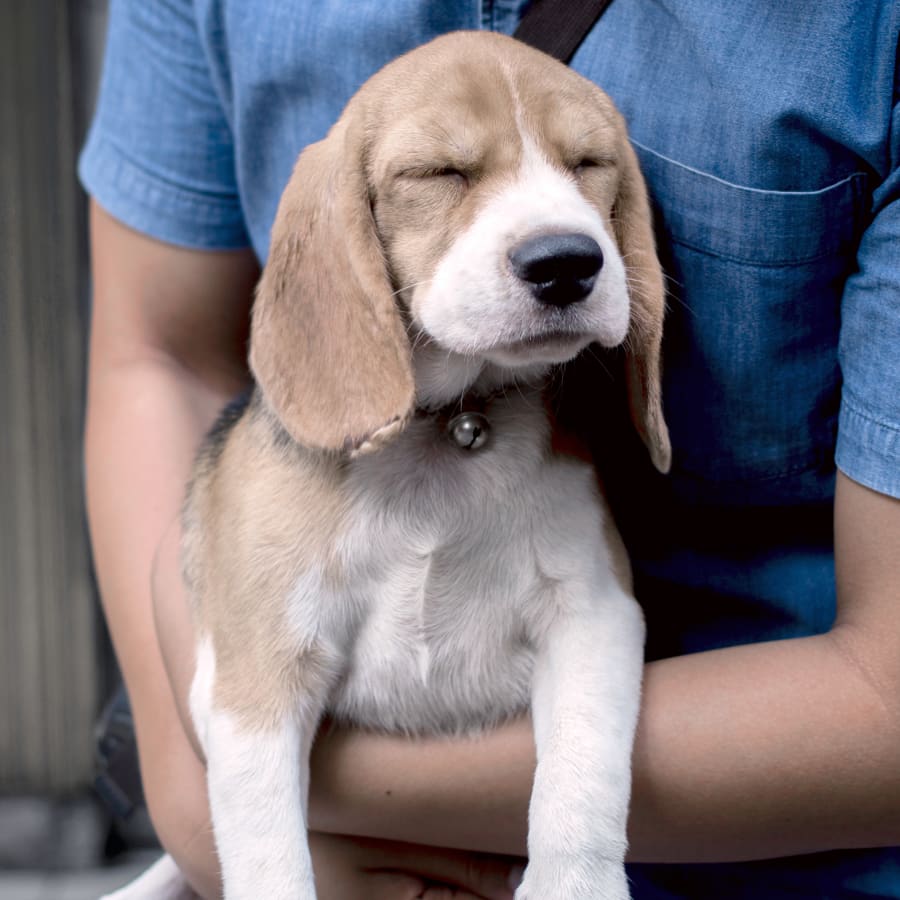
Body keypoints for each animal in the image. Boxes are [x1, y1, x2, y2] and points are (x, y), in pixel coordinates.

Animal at [107, 31, 668, 900]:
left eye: (588, 163)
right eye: (439, 173)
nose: (566, 262)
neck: (442, 436)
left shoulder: (594, 617)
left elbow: (581, 784)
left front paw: (572, 884)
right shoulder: (255, 680)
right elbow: (270, 858)